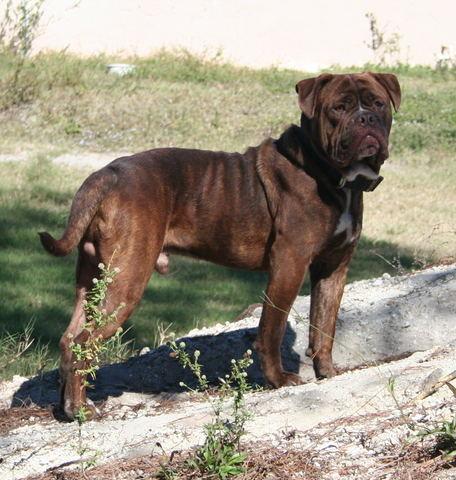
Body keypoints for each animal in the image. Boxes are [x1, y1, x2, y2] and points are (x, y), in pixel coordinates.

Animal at [41, 72, 400, 420]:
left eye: (378, 104)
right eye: (339, 108)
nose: (366, 119)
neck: (326, 172)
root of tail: (106, 174)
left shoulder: (334, 267)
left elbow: (324, 326)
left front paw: (327, 371)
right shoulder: (290, 264)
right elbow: (272, 328)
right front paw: (278, 379)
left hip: (93, 279)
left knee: (70, 338)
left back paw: (67, 406)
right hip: (126, 280)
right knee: (84, 341)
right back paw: (80, 410)